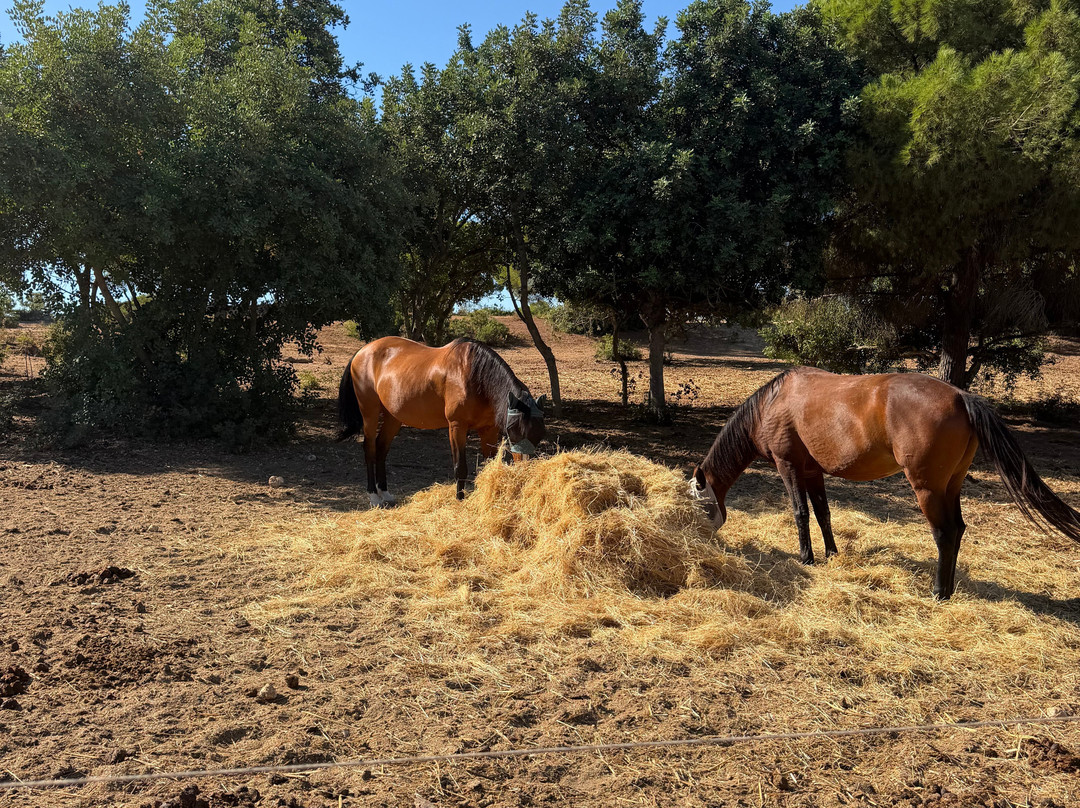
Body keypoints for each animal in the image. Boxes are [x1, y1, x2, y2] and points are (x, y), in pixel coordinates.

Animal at [337, 336, 547, 505]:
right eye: (512, 428)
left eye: (538, 434)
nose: (525, 471)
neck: (473, 375)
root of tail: (363, 351)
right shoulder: (456, 427)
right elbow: (460, 467)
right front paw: (459, 499)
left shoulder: (488, 429)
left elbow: (488, 465)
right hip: (370, 413)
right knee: (370, 449)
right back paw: (374, 496)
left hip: (393, 417)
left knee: (381, 448)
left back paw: (385, 493)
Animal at [689, 367, 1080, 599]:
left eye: (697, 503)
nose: (699, 539)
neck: (772, 403)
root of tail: (961, 396)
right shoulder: (813, 473)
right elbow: (823, 514)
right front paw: (832, 554)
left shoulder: (789, 467)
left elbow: (800, 513)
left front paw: (807, 558)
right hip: (951, 486)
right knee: (959, 530)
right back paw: (949, 587)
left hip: (927, 489)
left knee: (945, 533)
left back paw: (938, 591)